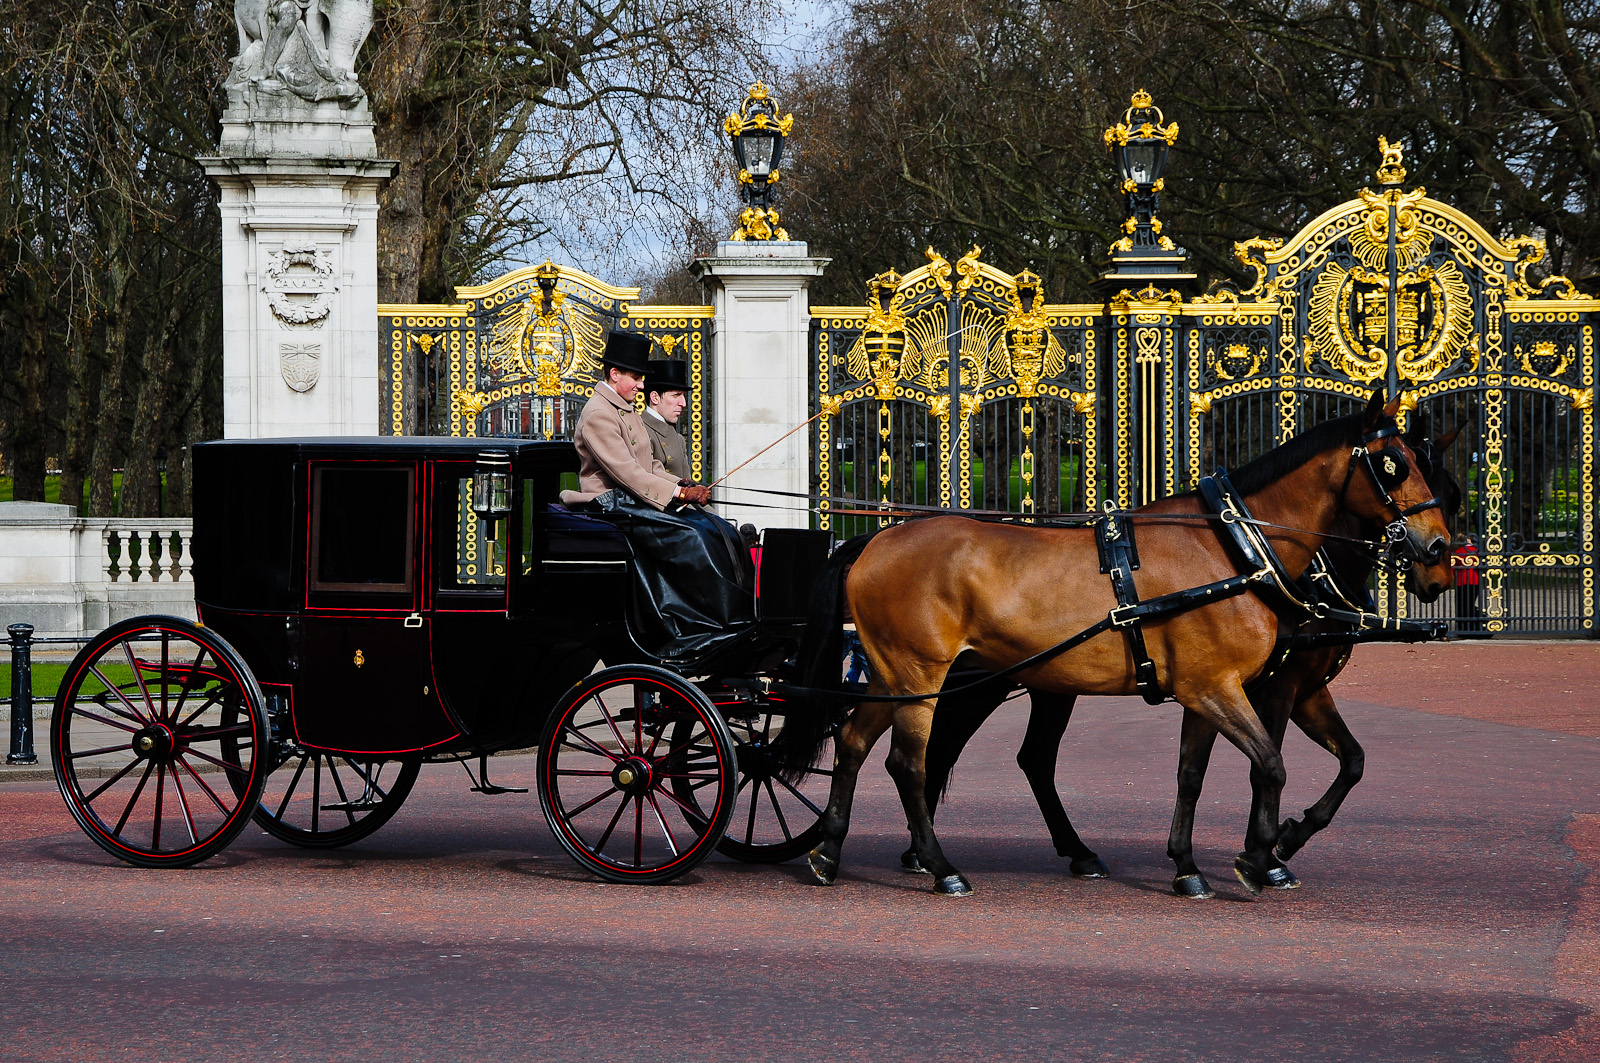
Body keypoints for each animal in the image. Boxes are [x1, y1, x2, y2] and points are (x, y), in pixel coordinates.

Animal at [780, 389, 1459, 890]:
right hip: (923, 678)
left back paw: (830, 854)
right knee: (909, 761)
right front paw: (1261, 855)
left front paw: (1190, 865)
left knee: (857, 742)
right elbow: (1269, 764)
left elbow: (1196, 773)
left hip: (901, 678)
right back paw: (941, 867)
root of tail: (874, 538)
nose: (1437, 555)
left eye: (1440, 479)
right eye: (1395, 465)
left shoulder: (1212, 691)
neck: (1236, 548)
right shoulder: (1226, 688)